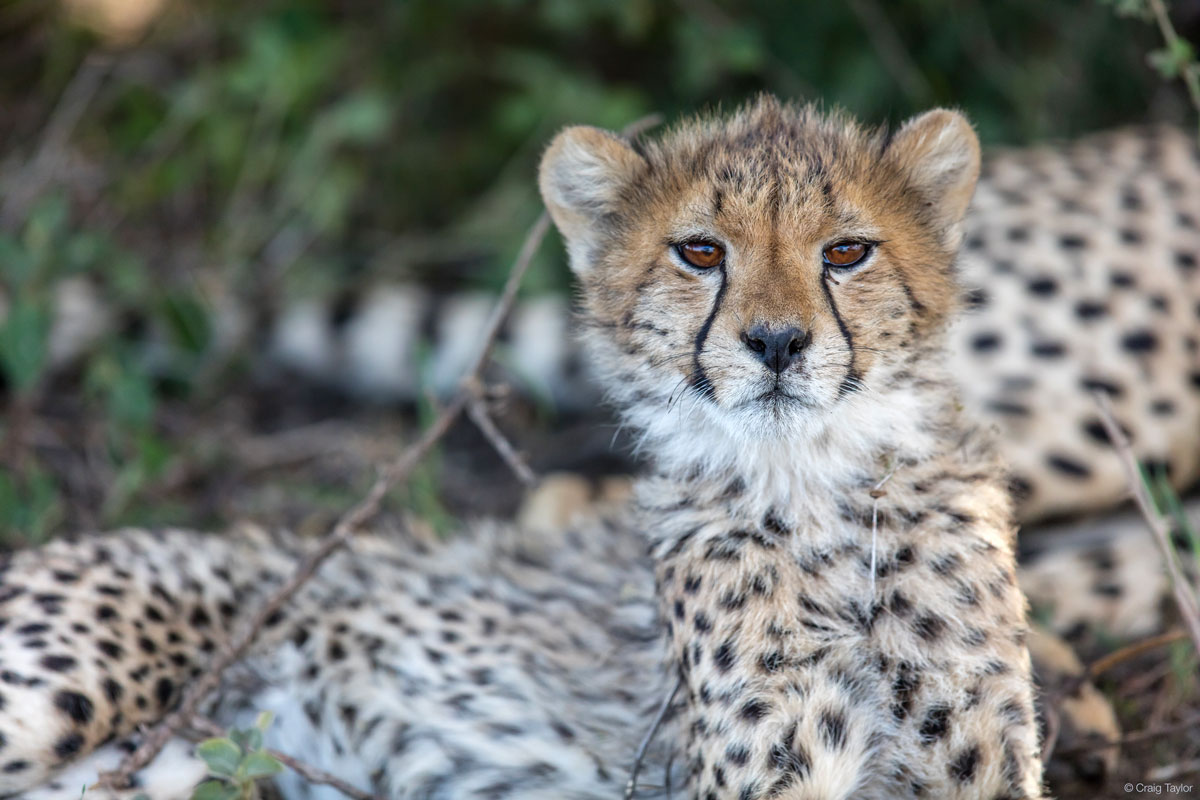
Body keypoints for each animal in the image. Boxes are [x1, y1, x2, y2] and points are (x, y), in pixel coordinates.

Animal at [0, 97, 1063, 800]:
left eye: (847, 252)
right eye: (700, 252)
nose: (775, 343)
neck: (814, 486)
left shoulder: (973, 761)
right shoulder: (775, 767)